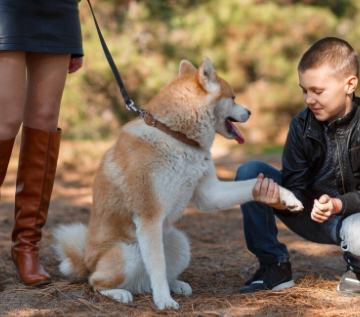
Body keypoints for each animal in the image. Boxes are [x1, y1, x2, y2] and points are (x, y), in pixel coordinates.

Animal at [54, 57, 304, 308]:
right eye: (233, 97)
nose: (250, 112)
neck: (176, 136)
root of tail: (86, 262)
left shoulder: (210, 194)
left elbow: (255, 185)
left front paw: (286, 196)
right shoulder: (149, 217)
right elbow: (157, 268)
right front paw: (164, 301)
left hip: (180, 243)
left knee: (151, 278)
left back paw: (175, 285)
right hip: (127, 253)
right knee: (97, 282)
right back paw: (119, 293)